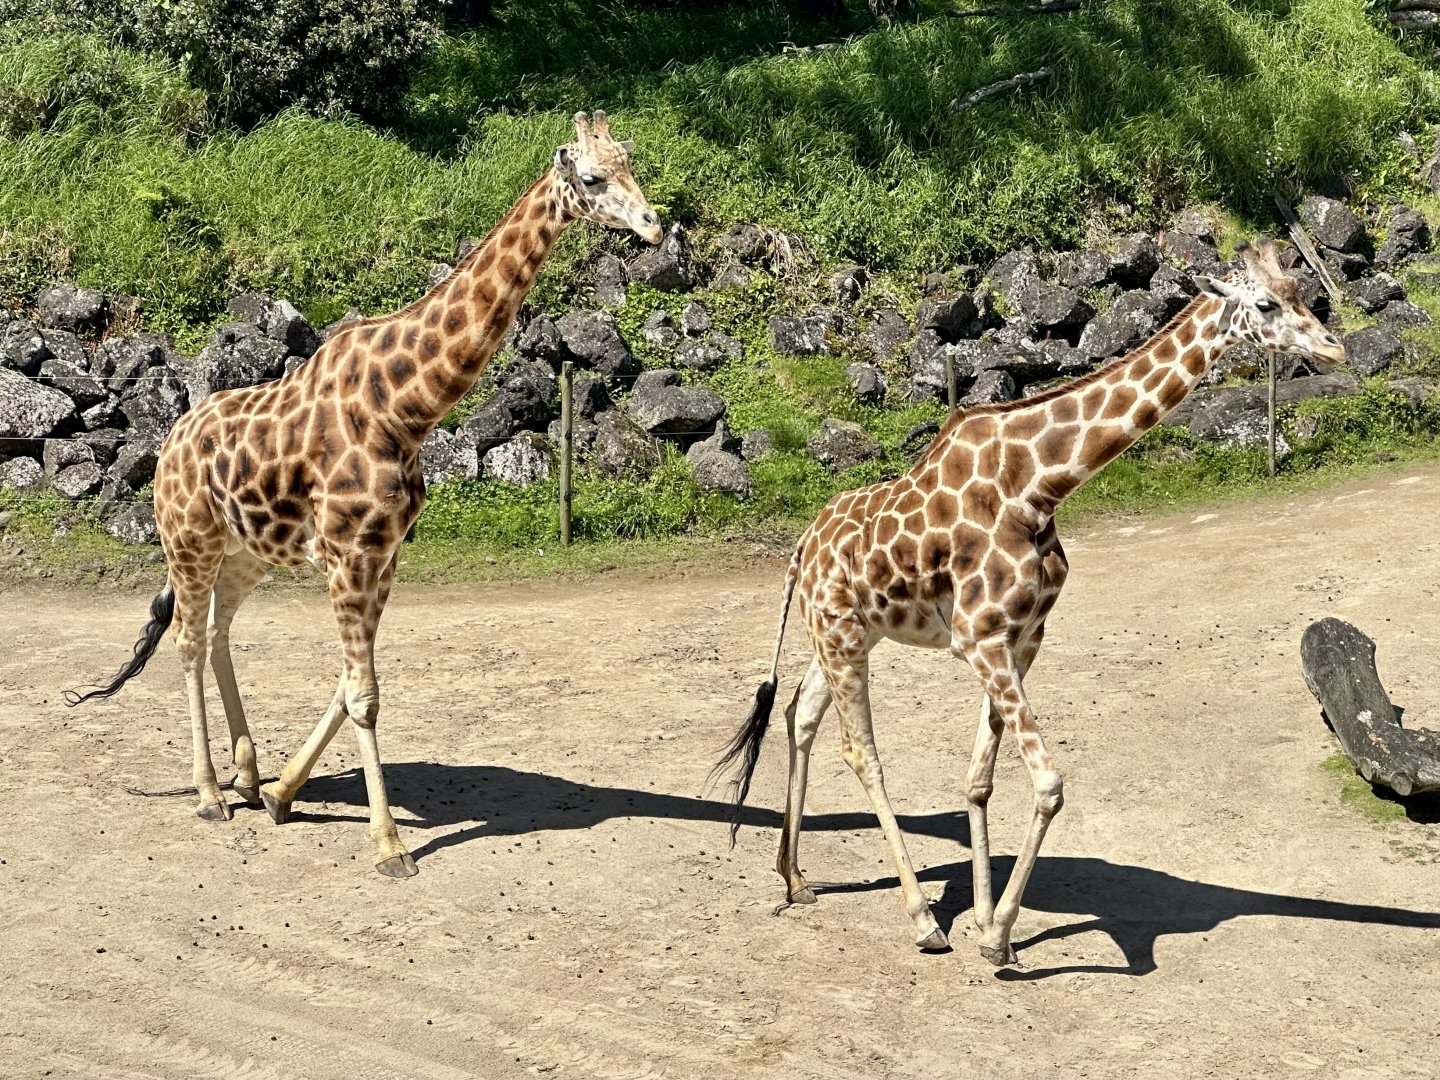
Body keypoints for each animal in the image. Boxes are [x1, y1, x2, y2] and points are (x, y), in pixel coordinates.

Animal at [67, 111, 661, 877]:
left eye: (630, 163)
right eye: (591, 177)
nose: (654, 224)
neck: (407, 409)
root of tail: (168, 441)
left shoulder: (383, 554)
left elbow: (351, 684)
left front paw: (284, 793)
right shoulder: (350, 554)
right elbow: (364, 696)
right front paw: (389, 844)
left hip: (247, 550)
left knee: (221, 631)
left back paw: (248, 775)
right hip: (187, 538)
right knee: (188, 639)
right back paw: (208, 792)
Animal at [714, 239, 1345, 964]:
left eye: (1302, 292)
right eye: (1266, 304)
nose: (1333, 347)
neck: (1040, 486)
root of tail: (800, 547)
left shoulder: (1023, 637)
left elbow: (981, 779)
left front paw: (990, 920)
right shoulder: (981, 637)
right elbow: (1047, 784)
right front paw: (994, 937)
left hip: (846, 631)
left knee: (800, 711)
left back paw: (793, 878)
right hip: (843, 636)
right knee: (861, 751)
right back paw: (923, 919)